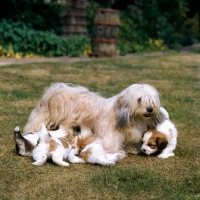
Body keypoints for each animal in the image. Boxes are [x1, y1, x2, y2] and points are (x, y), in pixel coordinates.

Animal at [23, 82, 167, 154]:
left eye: (151, 101)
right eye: (139, 99)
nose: (150, 109)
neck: (131, 118)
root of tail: (54, 92)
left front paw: (132, 149)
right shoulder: (109, 131)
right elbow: (111, 142)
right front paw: (113, 150)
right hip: (42, 117)